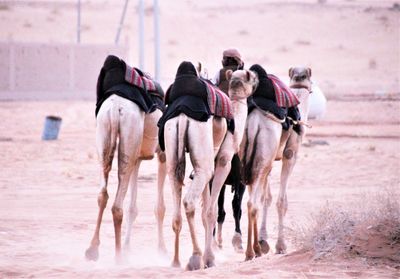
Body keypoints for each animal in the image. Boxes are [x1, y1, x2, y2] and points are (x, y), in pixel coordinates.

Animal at [83, 56, 166, 262]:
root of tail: (115, 107)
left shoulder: (138, 158)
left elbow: (133, 207)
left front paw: (129, 247)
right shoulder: (163, 155)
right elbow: (159, 207)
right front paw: (162, 250)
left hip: (106, 133)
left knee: (103, 193)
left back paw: (93, 250)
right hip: (129, 134)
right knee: (117, 205)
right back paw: (119, 257)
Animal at [163, 61, 260, 272]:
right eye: (253, 78)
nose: (258, 78)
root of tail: (182, 115)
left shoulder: (211, 165)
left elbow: (206, 211)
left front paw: (210, 255)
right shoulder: (223, 161)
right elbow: (211, 211)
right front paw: (210, 259)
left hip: (173, 150)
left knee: (176, 206)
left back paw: (175, 261)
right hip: (204, 159)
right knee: (189, 202)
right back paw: (195, 258)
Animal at [241, 66, 312, 262]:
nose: (301, 74)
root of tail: (253, 123)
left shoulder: (270, 161)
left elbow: (266, 198)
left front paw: (264, 240)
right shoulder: (290, 154)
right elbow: (281, 201)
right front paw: (280, 246)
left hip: (250, 160)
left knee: (252, 199)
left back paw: (255, 249)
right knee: (252, 203)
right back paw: (251, 251)